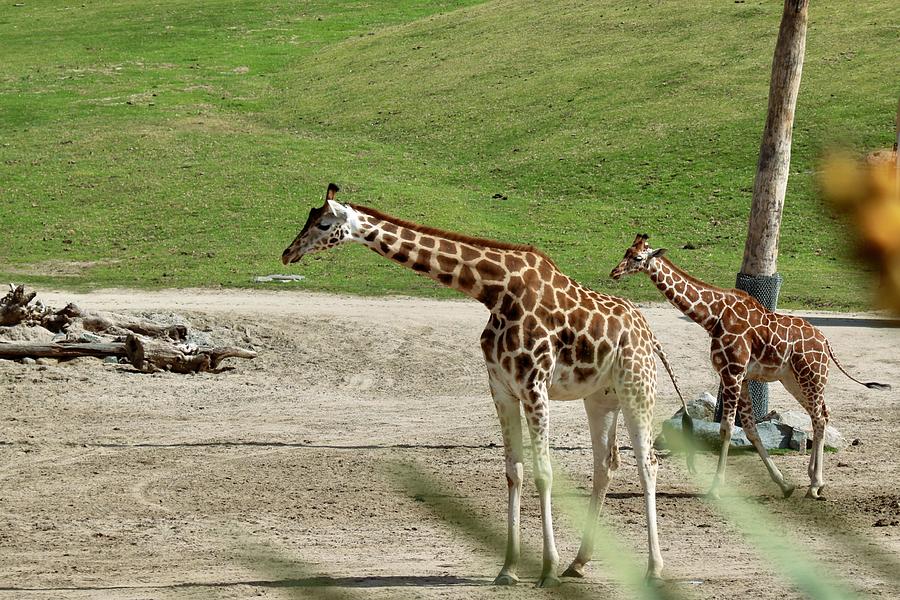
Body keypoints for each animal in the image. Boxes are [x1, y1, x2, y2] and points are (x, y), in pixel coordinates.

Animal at [282, 184, 688, 584]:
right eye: (308, 218)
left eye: (323, 224)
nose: (288, 253)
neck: (495, 293)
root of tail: (648, 332)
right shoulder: (501, 388)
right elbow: (514, 472)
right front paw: (508, 568)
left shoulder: (534, 385)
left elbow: (544, 473)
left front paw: (547, 569)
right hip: (601, 397)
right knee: (605, 464)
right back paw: (579, 563)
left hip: (638, 387)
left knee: (648, 462)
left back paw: (653, 569)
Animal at [608, 232, 888, 500]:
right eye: (625, 251)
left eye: (637, 258)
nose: (614, 272)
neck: (712, 316)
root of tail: (826, 342)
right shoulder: (738, 375)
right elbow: (751, 430)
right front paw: (784, 485)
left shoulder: (733, 372)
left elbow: (727, 429)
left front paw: (716, 488)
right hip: (794, 380)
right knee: (821, 414)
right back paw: (813, 481)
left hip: (811, 375)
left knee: (819, 417)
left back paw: (815, 485)